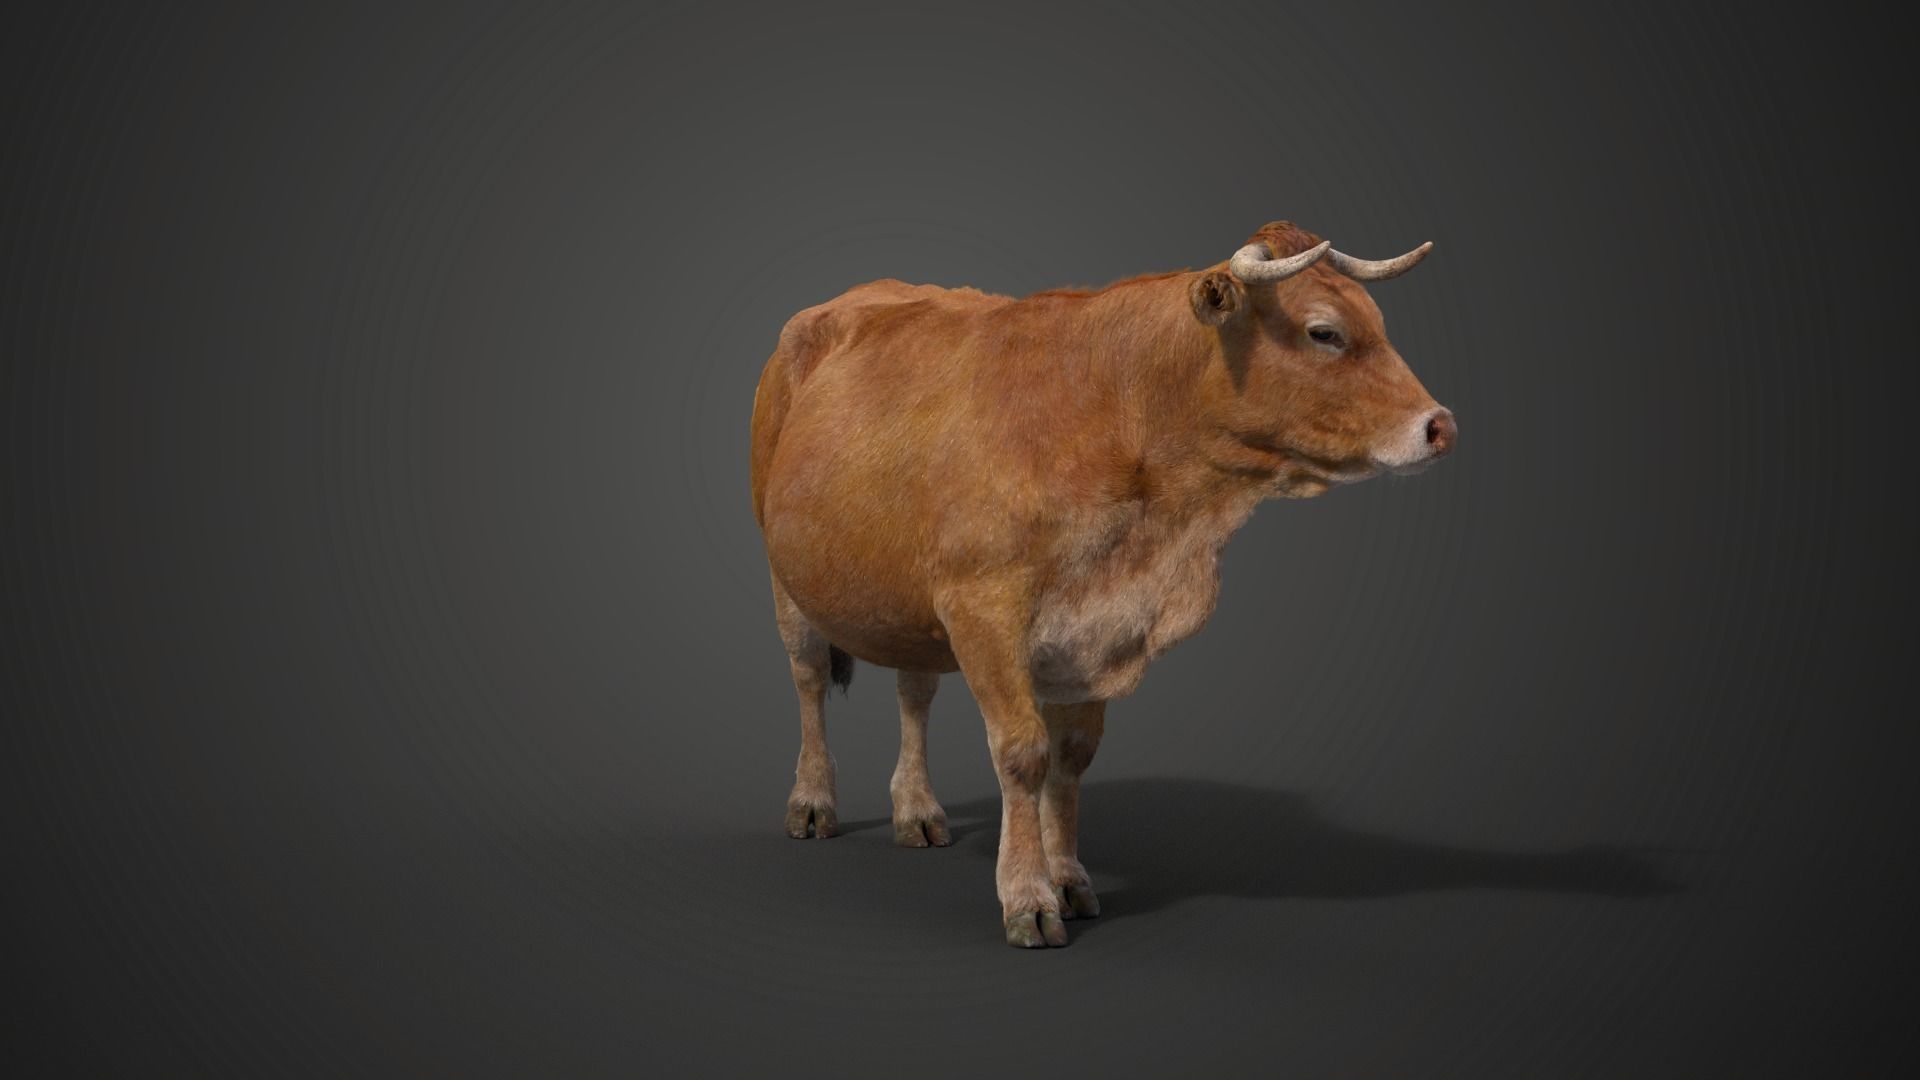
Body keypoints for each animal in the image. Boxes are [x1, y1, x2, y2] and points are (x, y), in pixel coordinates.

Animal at [749, 220, 1455, 948]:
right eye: (1324, 332)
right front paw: (1027, 896)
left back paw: (917, 811)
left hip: (905, 599)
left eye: (1376, 320)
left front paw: (1067, 879)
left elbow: (1072, 757)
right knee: (808, 677)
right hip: (784, 571)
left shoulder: (1096, 626)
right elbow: (1023, 752)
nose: (1440, 425)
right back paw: (812, 803)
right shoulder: (982, 607)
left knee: (913, 692)